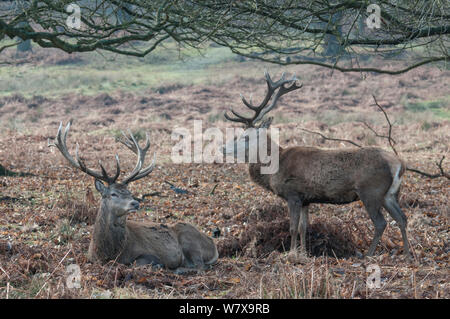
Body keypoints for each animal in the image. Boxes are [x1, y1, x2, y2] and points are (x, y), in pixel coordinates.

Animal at [49, 122, 218, 270]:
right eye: (113, 194)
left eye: (130, 193)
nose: (135, 203)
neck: (110, 253)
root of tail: (213, 245)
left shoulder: (148, 255)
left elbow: (139, 262)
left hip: (189, 239)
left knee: (199, 266)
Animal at [222, 71, 412, 258]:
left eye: (246, 137)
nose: (223, 148)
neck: (275, 167)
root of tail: (399, 164)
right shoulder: (306, 199)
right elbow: (303, 228)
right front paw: (304, 253)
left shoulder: (293, 194)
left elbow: (292, 228)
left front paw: (291, 254)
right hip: (390, 194)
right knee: (402, 218)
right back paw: (407, 254)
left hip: (370, 191)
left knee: (381, 223)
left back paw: (369, 255)